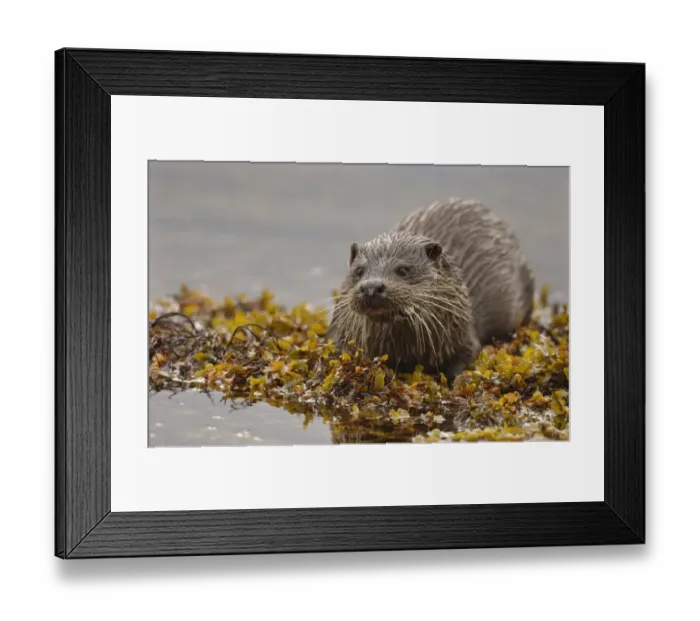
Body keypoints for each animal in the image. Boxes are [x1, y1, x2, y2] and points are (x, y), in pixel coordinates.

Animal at [326, 198, 535, 379]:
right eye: (359, 271)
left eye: (403, 270)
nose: (371, 287)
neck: (404, 351)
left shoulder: (463, 333)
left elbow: (465, 357)